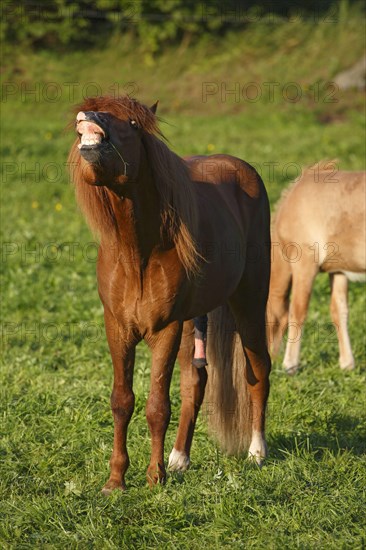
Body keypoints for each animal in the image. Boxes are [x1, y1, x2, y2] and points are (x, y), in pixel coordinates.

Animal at [69, 96, 272, 496]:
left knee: (259, 372)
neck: (137, 253)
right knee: (196, 381)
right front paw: (116, 480)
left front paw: (154, 477)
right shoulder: (117, 328)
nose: (90, 117)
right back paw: (180, 458)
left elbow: (157, 406)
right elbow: (122, 402)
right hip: (195, 320)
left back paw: (256, 452)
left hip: (249, 305)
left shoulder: (165, 329)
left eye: (133, 123)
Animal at [266, 161, 366, 376]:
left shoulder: (305, 264)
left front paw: (290, 364)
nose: (269, 358)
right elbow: (339, 312)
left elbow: (297, 311)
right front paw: (347, 364)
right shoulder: (338, 270)